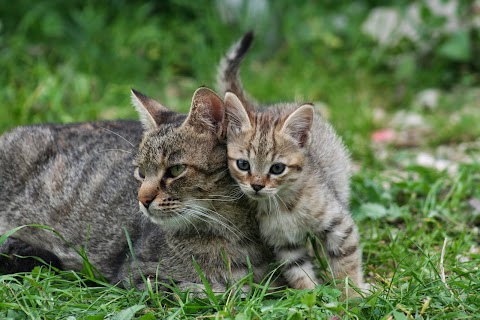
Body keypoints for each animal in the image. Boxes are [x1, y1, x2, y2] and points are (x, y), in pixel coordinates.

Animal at [219, 32, 366, 292]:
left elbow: (346, 261)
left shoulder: (339, 225)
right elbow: (298, 272)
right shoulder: (284, 244)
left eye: (277, 168)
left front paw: (353, 295)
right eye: (244, 165)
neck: (283, 204)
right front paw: (312, 296)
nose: (257, 186)